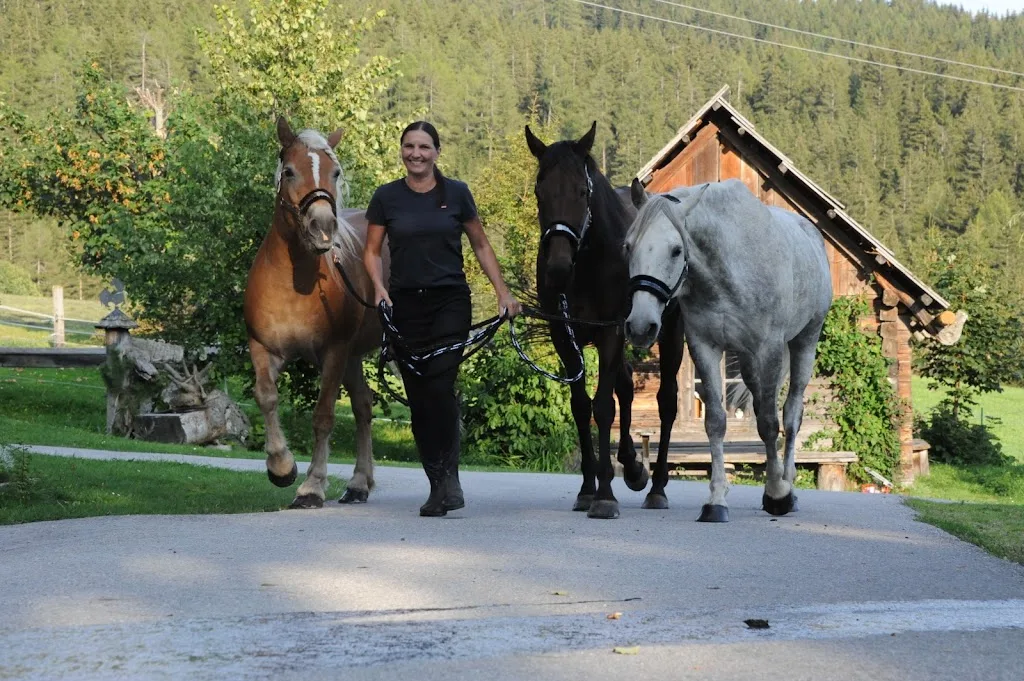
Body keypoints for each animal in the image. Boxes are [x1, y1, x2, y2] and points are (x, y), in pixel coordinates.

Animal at [243, 116, 386, 509]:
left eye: (335, 172)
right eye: (289, 171)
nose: (322, 227)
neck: (293, 285)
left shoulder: (334, 352)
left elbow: (323, 416)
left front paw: (311, 486)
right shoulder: (263, 348)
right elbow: (266, 397)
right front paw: (281, 467)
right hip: (354, 355)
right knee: (363, 406)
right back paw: (359, 483)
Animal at [525, 122, 649, 519]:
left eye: (582, 191)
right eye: (540, 191)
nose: (558, 268)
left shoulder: (611, 332)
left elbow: (604, 407)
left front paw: (606, 495)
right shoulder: (564, 335)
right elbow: (581, 408)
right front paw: (587, 488)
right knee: (625, 384)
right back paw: (632, 465)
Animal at [623, 179, 832, 522]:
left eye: (676, 249)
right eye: (628, 246)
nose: (641, 326)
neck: (726, 270)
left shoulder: (769, 348)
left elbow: (770, 423)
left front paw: (778, 494)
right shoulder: (705, 348)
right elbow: (717, 422)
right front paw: (716, 500)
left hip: (804, 342)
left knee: (791, 414)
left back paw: (787, 484)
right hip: (747, 362)